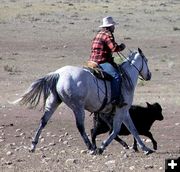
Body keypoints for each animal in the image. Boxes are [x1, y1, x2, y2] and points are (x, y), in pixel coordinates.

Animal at [12, 48, 153, 155]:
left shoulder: (120, 111)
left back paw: (33, 145)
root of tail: (58, 74)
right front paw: (102, 147)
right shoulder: (121, 109)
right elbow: (116, 129)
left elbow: (133, 128)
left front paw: (145, 148)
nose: (149, 75)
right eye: (146, 60)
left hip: (53, 102)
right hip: (78, 107)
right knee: (80, 126)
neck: (126, 78)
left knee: (43, 121)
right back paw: (91, 148)